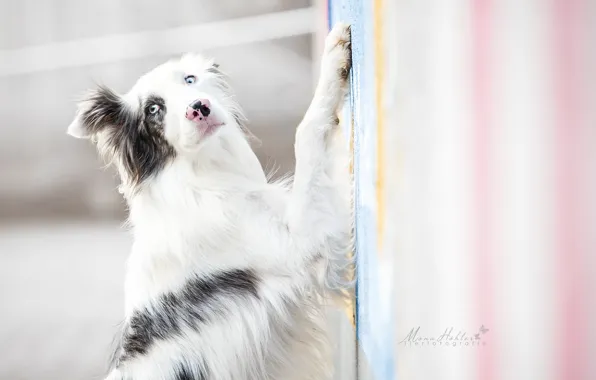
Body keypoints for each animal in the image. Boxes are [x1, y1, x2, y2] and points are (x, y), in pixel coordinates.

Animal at [66, 23, 354, 380]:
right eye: (153, 109)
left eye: (190, 80)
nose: (199, 107)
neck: (201, 177)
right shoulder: (300, 247)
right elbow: (308, 133)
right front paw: (334, 56)